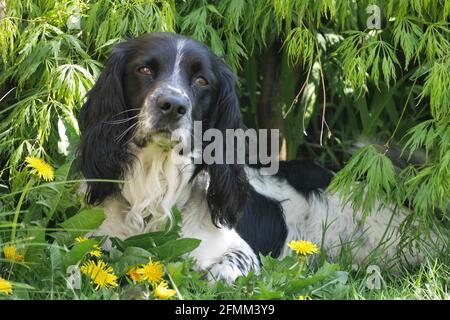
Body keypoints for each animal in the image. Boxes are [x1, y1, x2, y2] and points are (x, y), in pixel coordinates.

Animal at [79, 33, 420, 282]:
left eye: (202, 81)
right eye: (144, 69)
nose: (173, 105)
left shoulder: (238, 250)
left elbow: (225, 270)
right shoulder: (98, 240)